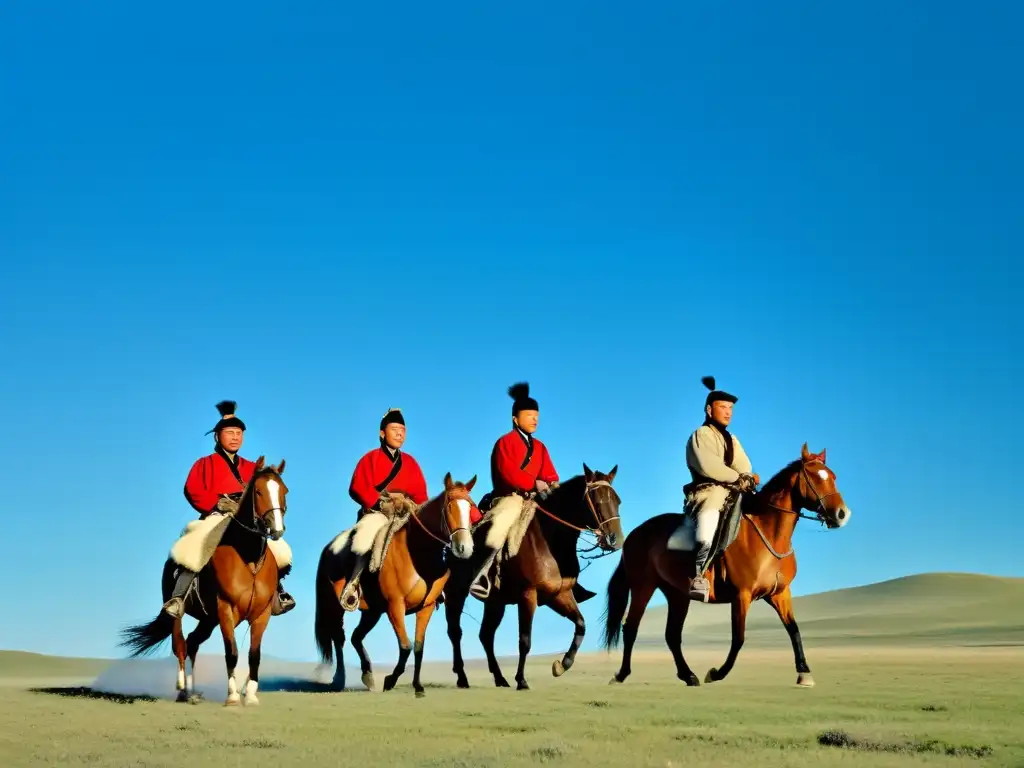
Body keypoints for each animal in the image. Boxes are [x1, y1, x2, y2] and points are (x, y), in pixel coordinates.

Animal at [117, 456, 290, 708]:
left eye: (284, 491)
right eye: (258, 491)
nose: (276, 529)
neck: (248, 558)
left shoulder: (262, 614)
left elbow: (254, 655)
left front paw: (251, 696)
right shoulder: (226, 609)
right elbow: (232, 653)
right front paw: (232, 697)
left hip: (208, 620)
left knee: (192, 643)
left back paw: (193, 692)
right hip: (179, 615)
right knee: (180, 646)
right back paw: (182, 690)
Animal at [313, 473, 477, 700]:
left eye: (470, 507)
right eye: (449, 507)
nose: (464, 548)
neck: (419, 555)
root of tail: (329, 548)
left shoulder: (425, 608)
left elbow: (418, 647)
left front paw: (418, 686)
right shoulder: (395, 606)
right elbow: (405, 646)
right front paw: (390, 680)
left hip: (372, 612)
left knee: (356, 637)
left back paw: (368, 675)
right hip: (335, 606)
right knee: (339, 637)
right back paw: (339, 679)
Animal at [442, 466, 618, 696]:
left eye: (617, 501)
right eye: (596, 501)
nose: (615, 538)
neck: (550, 540)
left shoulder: (558, 595)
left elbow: (581, 624)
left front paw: (562, 665)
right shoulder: (528, 595)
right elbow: (525, 640)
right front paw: (522, 680)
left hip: (495, 602)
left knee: (486, 635)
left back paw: (500, 678)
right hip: (456, 594)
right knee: (455, 632)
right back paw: (463, 678)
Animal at [602, 444, 851, 692]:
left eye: (833, 477)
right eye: (815, 478)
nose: (842, 514)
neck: (767, 532)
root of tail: (635, 534)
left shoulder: (779, 593)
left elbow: (794, 629)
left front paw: (804, 673)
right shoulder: (742, 595)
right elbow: (738, 638)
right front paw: (716, 673)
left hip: (677, 594)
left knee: (672, 634)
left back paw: (688, 675)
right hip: (643, 586)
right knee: (631, 627)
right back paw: (621, 675)